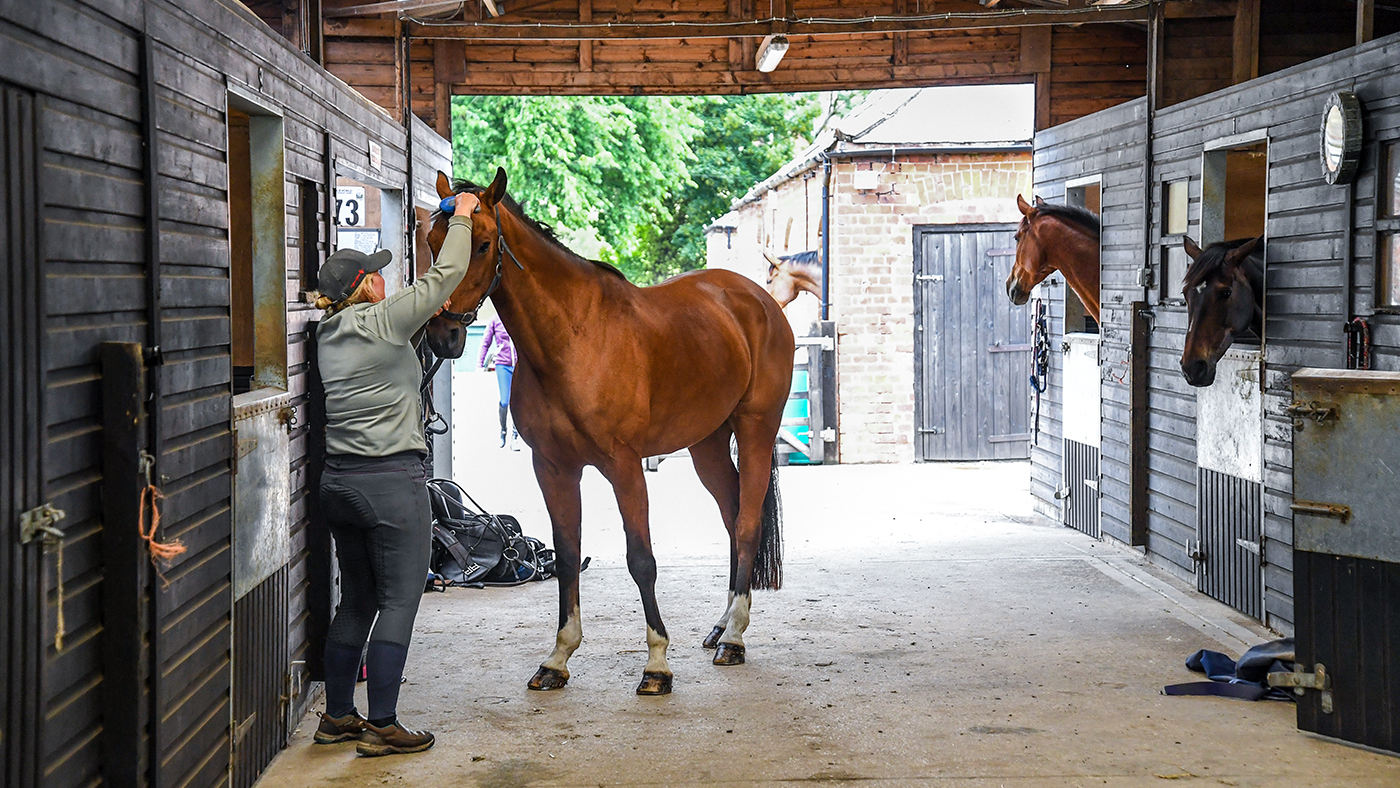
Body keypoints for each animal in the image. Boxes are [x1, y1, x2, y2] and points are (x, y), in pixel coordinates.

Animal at [422, 169, 795, 696]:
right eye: (432, 241)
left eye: (482, 243)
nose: (442, 336)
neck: (572, 338)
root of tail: (759, 300)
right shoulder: (553, 468)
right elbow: (568, 554)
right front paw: (557, 658)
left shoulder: (624, 466)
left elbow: (641, 559)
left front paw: (657, 664)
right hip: (707, 445)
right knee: (731, 516)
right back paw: (722, 625)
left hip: (756, 430)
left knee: (746, 523)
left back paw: (735, 638)